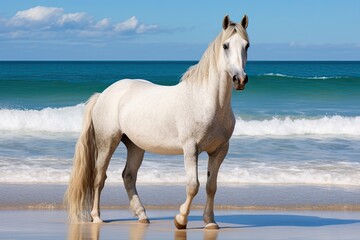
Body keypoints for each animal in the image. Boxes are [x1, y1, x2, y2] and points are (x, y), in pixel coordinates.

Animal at [64, 14, 249, 230]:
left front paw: (210, 222)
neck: (208, 101)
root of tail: (103, 94)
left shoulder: (219, 150)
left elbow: (211, 186)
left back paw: (142, 215)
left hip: (135, 146)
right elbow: (193, 185)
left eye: (246, 45)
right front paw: (180, 219)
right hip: (107, 143)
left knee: (128, 176)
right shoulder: (190, 149)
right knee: (99, 178)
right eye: (226, 45)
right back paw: (97, 217)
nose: (240, 79)